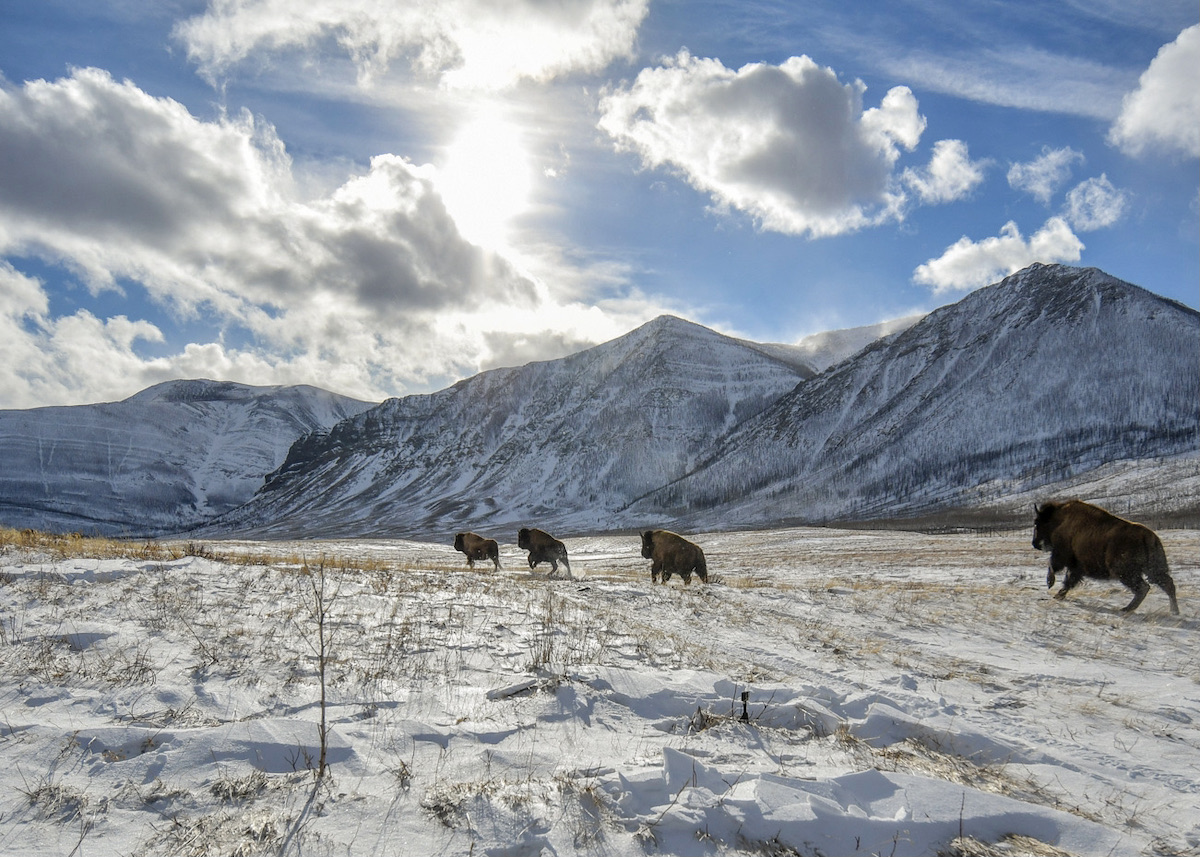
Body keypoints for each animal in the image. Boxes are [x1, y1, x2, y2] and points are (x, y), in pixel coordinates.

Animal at [1033, 500, 1179, 615]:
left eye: (1037, 523)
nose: (1034, 543)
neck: (1059, 520)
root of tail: (1148, 536)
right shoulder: (1076, 567)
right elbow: (1069, 580)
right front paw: (1059, 595)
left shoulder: (1062, 555)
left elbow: (1053, 566)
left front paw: (1050, 584)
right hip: (1152, 570)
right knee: (1167, 584)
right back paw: (1174, 611)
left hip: (1125, 572)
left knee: (1143, 587)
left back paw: (1125, 609)